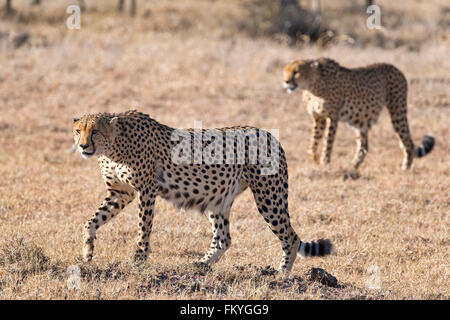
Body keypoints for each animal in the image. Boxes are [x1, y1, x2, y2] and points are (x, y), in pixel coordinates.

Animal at [70, 111, 330, 272]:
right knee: (223, 239)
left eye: (95, 131)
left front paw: (139, 259)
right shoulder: (120, 192)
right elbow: (91, 221)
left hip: (268, 196)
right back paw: (200, 265)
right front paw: (87, 251)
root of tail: (269, 134)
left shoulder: (146, 190)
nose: (82, 146)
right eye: (78, 130)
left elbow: (143, 228)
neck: (113, 146)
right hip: (219, 198)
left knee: (291, 237)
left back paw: (282, 273)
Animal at [284, 58, 434, 178]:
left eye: (296, 72)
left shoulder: (332, 117)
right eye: (285, 71)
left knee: (408, 142)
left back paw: (405, 168)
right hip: (360, 120)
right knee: (364, 146)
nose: (286, 81)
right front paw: (316, 160)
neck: (312, 85)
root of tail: (395, 68)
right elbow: (313, 143)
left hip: (397, 111)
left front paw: (324, 163)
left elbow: (327, 143)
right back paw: (352, 167)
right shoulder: (318, 117)